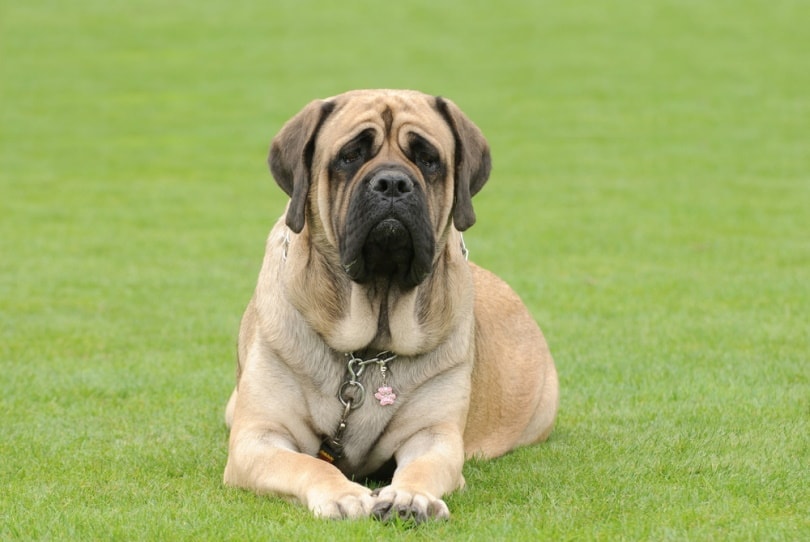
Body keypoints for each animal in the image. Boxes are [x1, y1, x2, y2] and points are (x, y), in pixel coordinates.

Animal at [224, 89, 560, 524]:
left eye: (428, 159)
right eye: (350, 155)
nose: (393, 183)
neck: (368, 348)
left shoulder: (434, 437)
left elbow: (423, 467)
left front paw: (410, 496)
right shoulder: (256, 438)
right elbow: (307, 463)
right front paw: (342, 494)